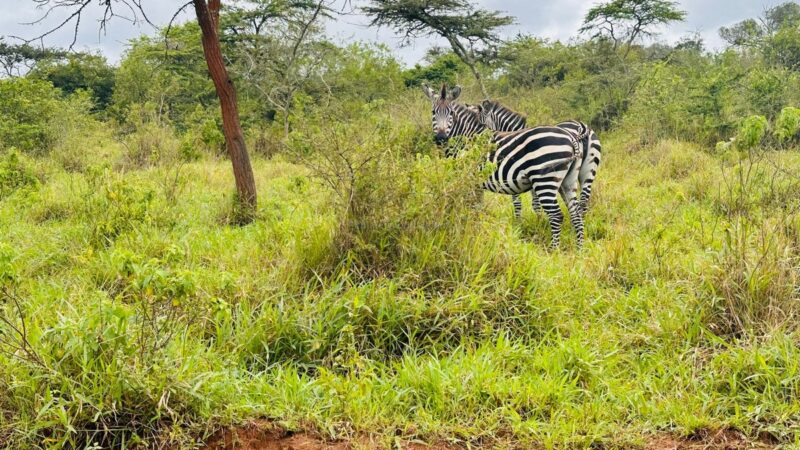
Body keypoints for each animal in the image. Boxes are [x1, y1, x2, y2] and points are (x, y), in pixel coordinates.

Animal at [422, 82, 584, 248]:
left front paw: (470, 231)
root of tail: (571, 138)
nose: (441, 138)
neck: (467, 138)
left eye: (451, 114)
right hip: (568, 182)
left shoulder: (469, 179)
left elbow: (470, 206)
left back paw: (553, 250)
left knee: (556, 215)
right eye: (433, 112)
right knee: (576, 213)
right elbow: (477, 207)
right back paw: (579, 249)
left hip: (544, 180)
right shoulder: (476, 182)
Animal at [468, 101, 608, 222]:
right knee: (583, 203)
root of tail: (582, 126)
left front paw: (527, 222)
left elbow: (524, 202)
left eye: (480, 123)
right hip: (588, 172)